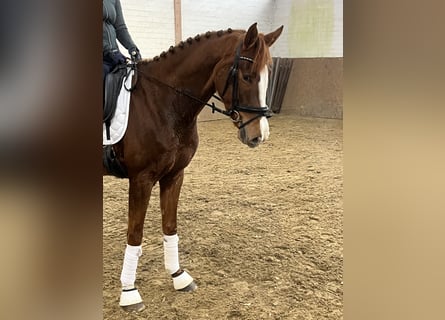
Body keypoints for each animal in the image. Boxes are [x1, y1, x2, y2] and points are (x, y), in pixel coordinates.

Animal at [103, 21, 280, 310]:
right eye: (247, 76)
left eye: (267, 75)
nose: (259, 135)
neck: (162, 101)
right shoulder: (141, 179)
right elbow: (135, 233)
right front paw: (129, 292)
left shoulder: (175, 175)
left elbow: (170, 227)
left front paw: (178, 276)